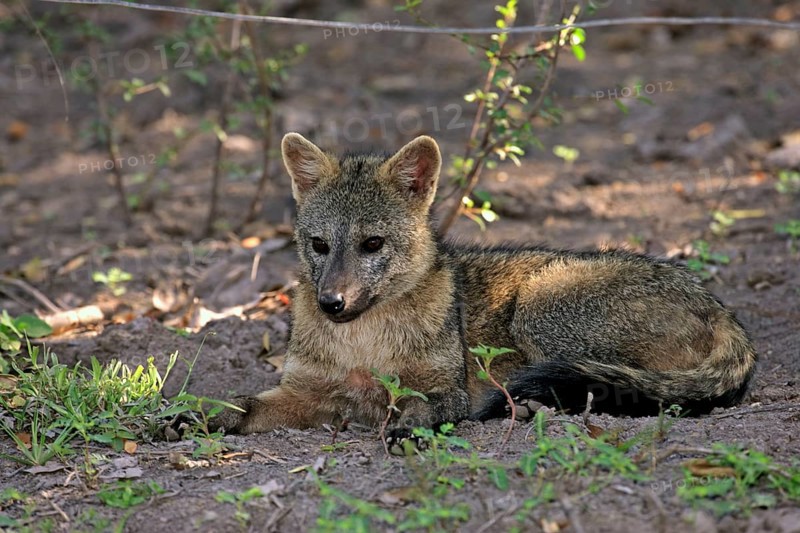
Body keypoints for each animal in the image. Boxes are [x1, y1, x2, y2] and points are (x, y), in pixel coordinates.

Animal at [211, 132, 757, 440]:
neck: (363, 345)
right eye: (320, 245)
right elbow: (242, 404)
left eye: (372, 244)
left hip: (538, 309)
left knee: (615, 386)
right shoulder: (306, 392)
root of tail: (716, 304)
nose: (332, 303)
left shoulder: (442, 388)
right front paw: (201, 417)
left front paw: (413, 428)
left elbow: (425, 405)